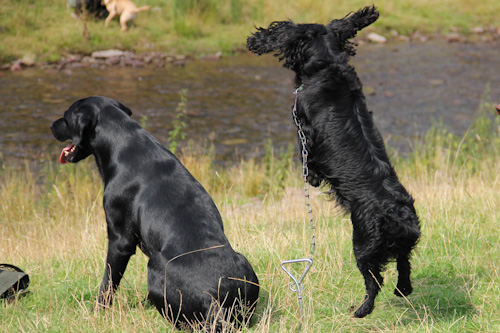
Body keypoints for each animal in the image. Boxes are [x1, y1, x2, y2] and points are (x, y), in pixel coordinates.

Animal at [50, 96, 260, 330]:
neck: (123, 144)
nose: (51, 125)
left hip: (155, 267)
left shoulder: (120, 240)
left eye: (65, 118)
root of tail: (213, 301)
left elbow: (108, 283)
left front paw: (97, 312)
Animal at [248, 5, 420, 316]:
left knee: (374, 281)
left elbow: (306, 156)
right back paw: (402, 290)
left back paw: (361, 310)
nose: (255, 39)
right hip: (399, 246)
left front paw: (312, 178)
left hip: (363, 244)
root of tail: (400, 216)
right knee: (404, 267)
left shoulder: (303, 127)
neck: (326, 66)